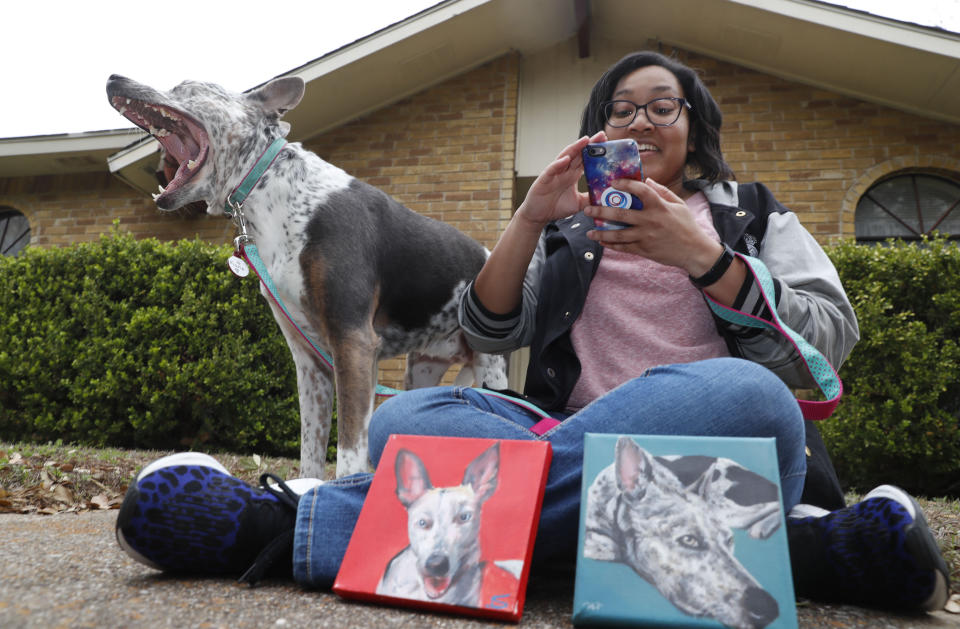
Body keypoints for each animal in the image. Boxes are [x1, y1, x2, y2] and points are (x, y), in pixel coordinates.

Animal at [106, 73, 510, 476]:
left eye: (187, 88)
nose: (113, 79)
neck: (274, 191)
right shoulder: (311, 362)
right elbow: (311, 454)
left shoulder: (353, 343)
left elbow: (348, 454)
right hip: (422, 371)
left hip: (491, 368)